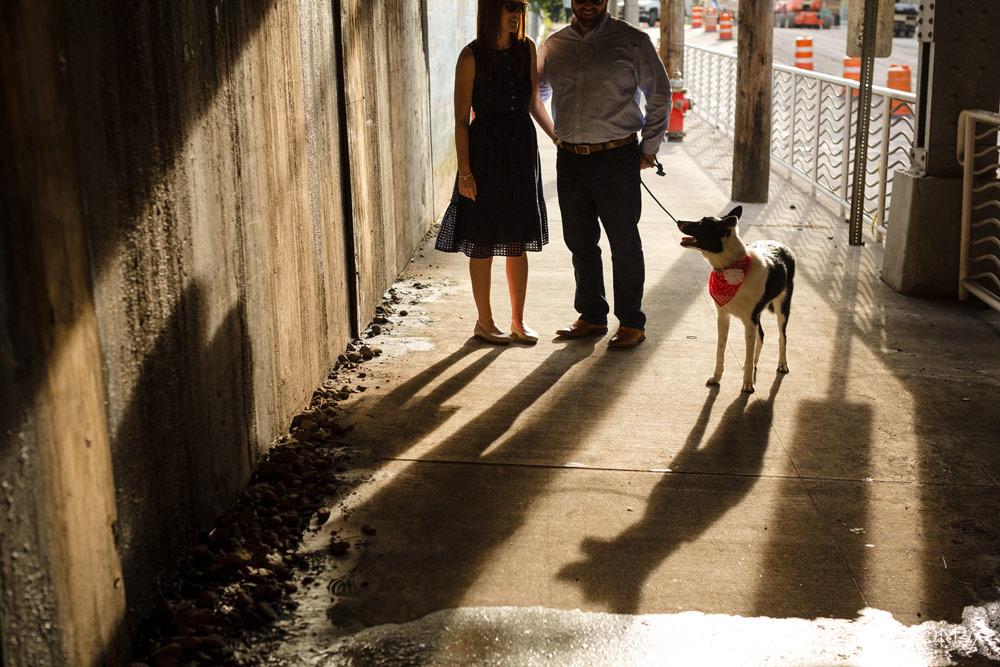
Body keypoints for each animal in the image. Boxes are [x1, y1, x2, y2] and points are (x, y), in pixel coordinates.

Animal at [680, 209, 796, 394]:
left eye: (701, 223)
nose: (678, 221)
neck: (730, 265)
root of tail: (781, 245)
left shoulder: (749, 321)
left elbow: (748, 354)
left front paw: (748, 384)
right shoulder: (724, 317)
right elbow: (720, 350)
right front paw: (717, 377)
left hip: (782, 306)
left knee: (782, 336)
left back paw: (782, 364)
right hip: (758, 315)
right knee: (761, 335)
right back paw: (756, 363)